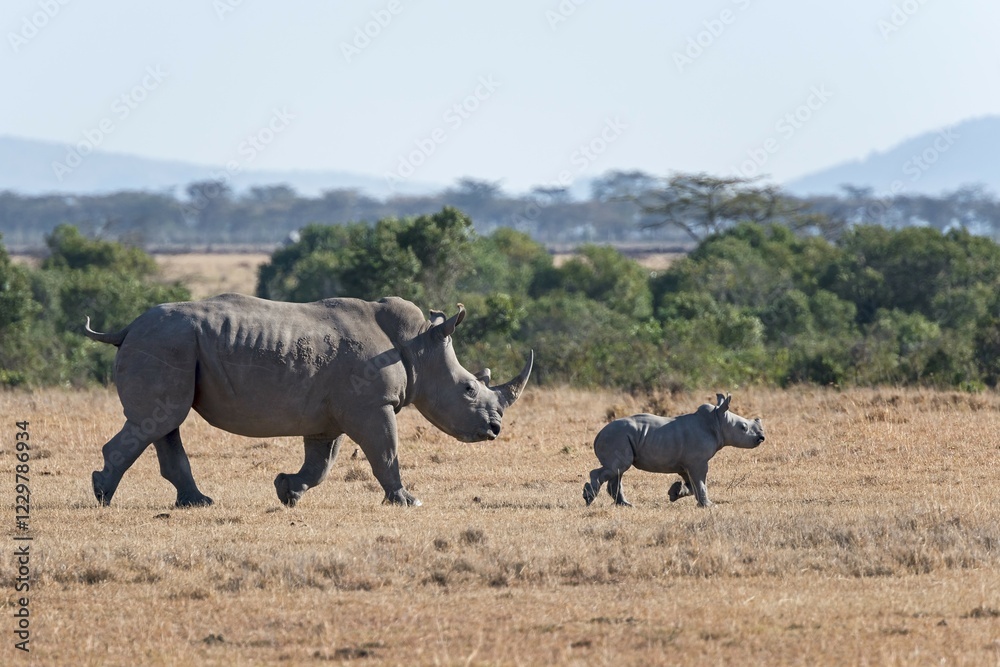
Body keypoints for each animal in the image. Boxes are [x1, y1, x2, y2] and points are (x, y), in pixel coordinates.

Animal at [83, 294, 532, 508]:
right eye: (469, 389)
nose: (495, 429)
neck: (419, 346)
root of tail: (126, 328)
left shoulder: (333, 414)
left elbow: (321, 462)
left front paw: (287, 491)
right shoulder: (373, 405)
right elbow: (386, 452)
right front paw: (407, 501)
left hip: (169, 343)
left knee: (163, 421)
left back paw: (197, 503)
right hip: (164, 342)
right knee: (157, 420)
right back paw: (103, 494)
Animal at [583, 393, 764, 507]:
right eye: (743, 427)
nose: (761, 438)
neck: (716, 421)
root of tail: (599, 434)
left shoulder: (687, 463)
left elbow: (692, 484)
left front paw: (675, 493)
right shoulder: (697, 461)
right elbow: (701, 482)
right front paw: (709, 506)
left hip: (618, 437)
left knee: (618, 471)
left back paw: (625, 505)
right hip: (616, 437)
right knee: (618, 468)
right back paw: (589, 498)